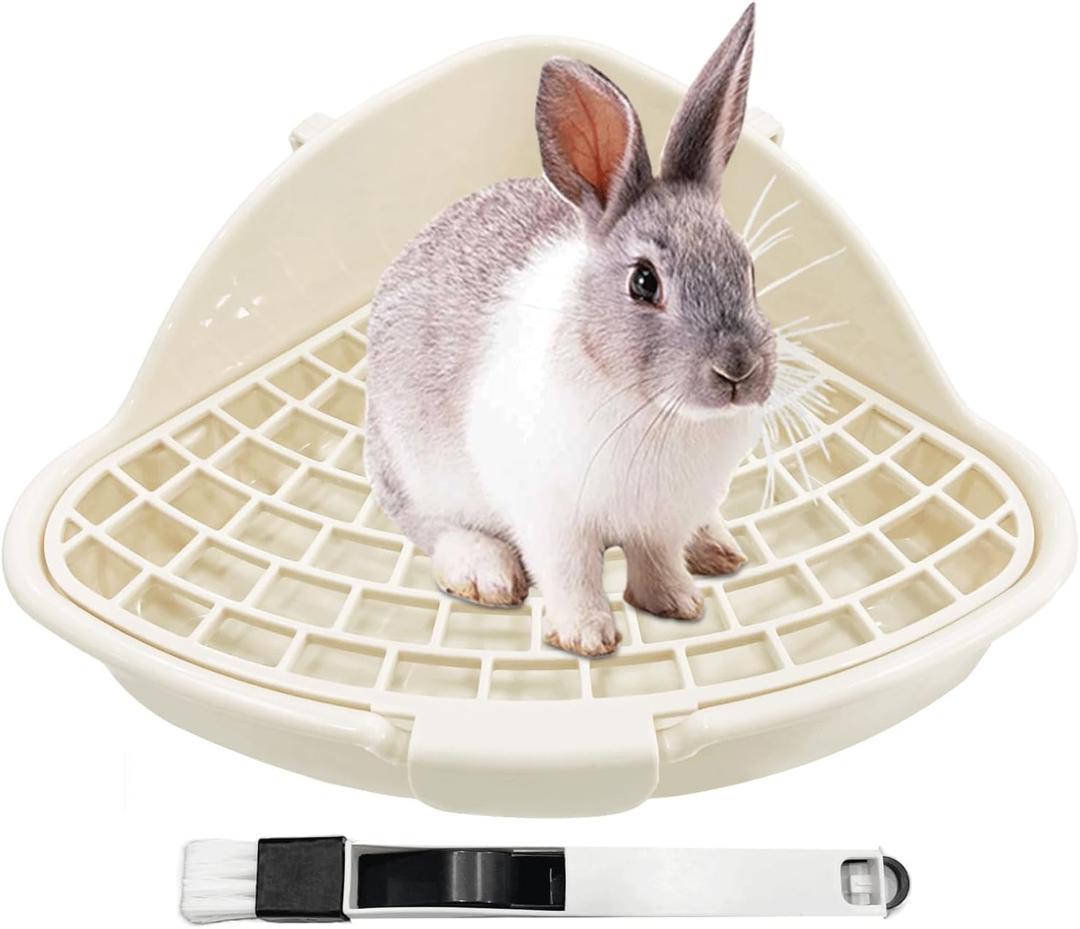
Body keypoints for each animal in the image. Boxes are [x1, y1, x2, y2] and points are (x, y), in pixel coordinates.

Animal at [365, 3, 775, 656]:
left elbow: (656, 561)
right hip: (413, 470)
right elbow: (571, 572)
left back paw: (715, 548)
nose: (738, 370)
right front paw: (587, 637)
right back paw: (486, 572)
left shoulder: (660, 520)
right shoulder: (551, 518)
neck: (654, 411)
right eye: (643, 282)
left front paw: (677, 603)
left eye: (749, 269)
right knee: (431, 526)